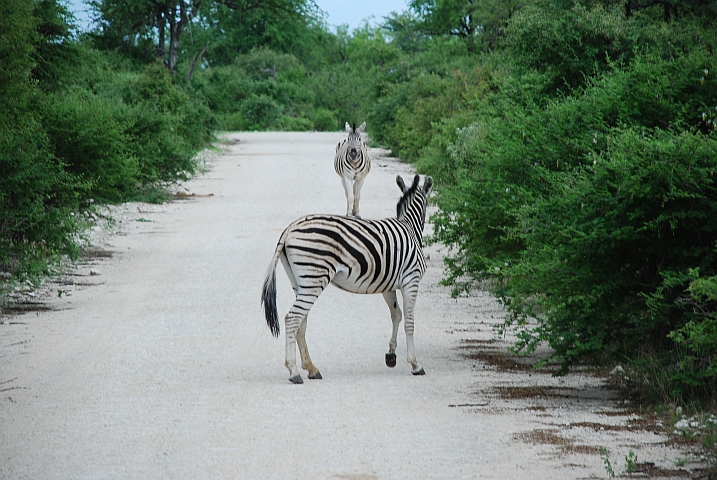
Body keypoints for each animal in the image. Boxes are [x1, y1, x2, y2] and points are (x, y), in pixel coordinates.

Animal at [262, 174, 434, 384]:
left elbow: (397, 315)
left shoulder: (388, 285)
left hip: (300, 282)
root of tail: (289, 229)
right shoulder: (411, 280)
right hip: (314, 278)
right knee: (292, 318)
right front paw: (415, 364)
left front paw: (391, 355)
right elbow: (409, 322)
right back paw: (294, 372)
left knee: (301, 321)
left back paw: (311, 369)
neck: (409, 227)